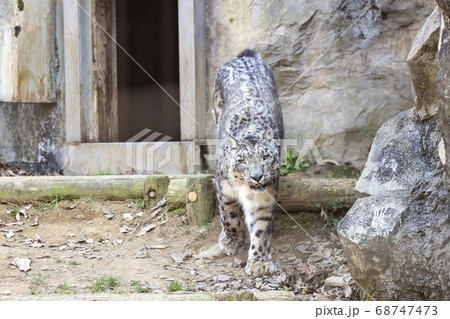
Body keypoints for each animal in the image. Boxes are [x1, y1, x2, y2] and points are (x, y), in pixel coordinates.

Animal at [213, 48, 284, 276]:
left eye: (265, 156)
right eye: (242, 160)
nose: (257, 176)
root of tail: (244, 58)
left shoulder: (263, 199)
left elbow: (261, 229)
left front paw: (259, 262)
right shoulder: (224, 189)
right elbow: (229, 215)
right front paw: (231, 241)